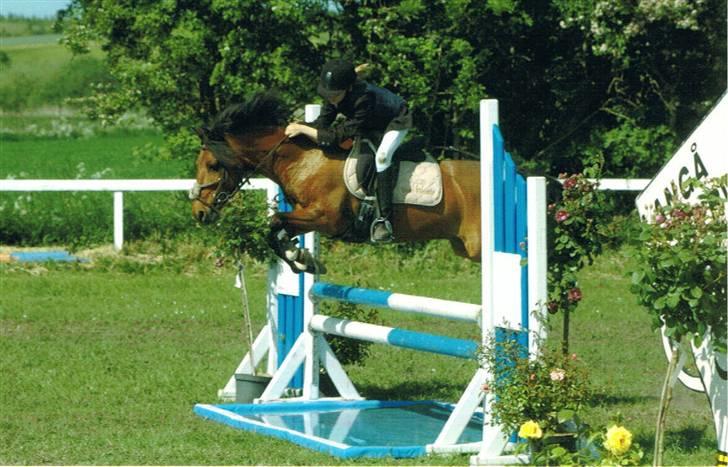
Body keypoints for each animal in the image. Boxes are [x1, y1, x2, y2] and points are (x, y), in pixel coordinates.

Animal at [190, 93, 482, 274]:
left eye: (213, 165)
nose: (199, 212)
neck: (305, 159)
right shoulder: (305, 216)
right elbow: (276, 230)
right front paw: (302, 259)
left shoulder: (327, 219)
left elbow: (275, 222)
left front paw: (300, 258)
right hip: (463, 247)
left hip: (477, 246)